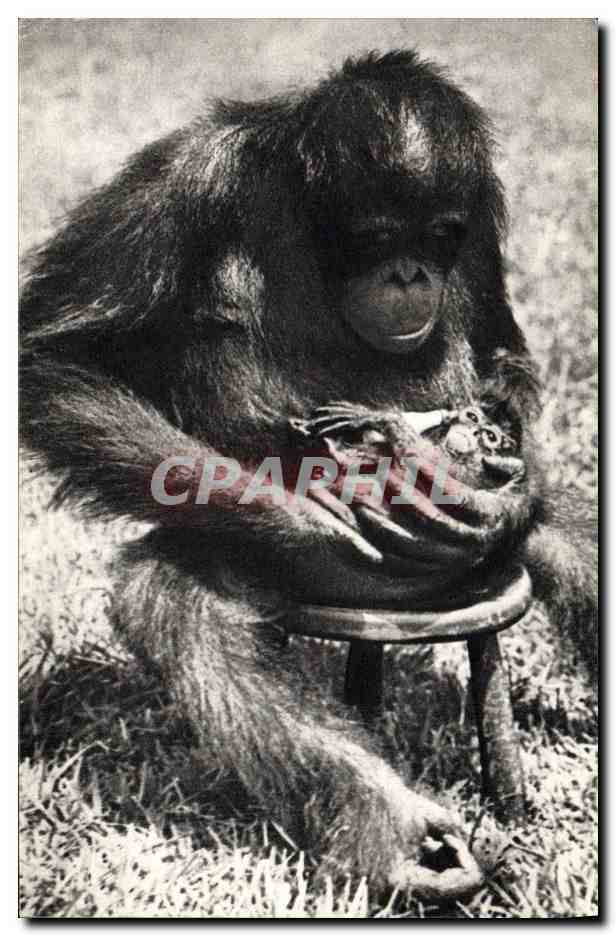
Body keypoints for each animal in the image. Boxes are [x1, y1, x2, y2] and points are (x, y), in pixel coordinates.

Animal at [19, 50, 597, 900]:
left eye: (441, 236)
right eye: (377, 238)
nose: (409, 273)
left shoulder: (480, 204)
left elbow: (497, 346)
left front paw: (498, 485)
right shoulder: (181, 180)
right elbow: (57, 359)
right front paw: (317, 511)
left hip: (488, 574)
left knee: (575, 539)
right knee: (178, 605)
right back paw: (402, 838)